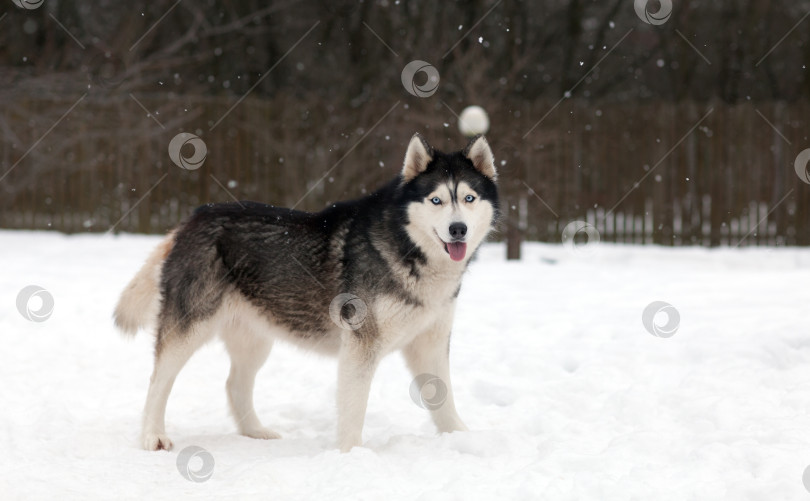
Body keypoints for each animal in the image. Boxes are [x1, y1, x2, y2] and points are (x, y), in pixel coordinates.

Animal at [111, 134, 496, 454]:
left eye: (469, 198)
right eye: (436, 200)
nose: (457, 229)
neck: (408, 248)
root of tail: (189, 220)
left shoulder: (430, 343)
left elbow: (443, 399)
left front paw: (463, 439)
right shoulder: (360, 345)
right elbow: (353, 409)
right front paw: (352, 456)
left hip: (255, 338)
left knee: (235, 384)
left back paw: (255, 432)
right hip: (190, 327)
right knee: (158, 380)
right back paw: (152, 436)